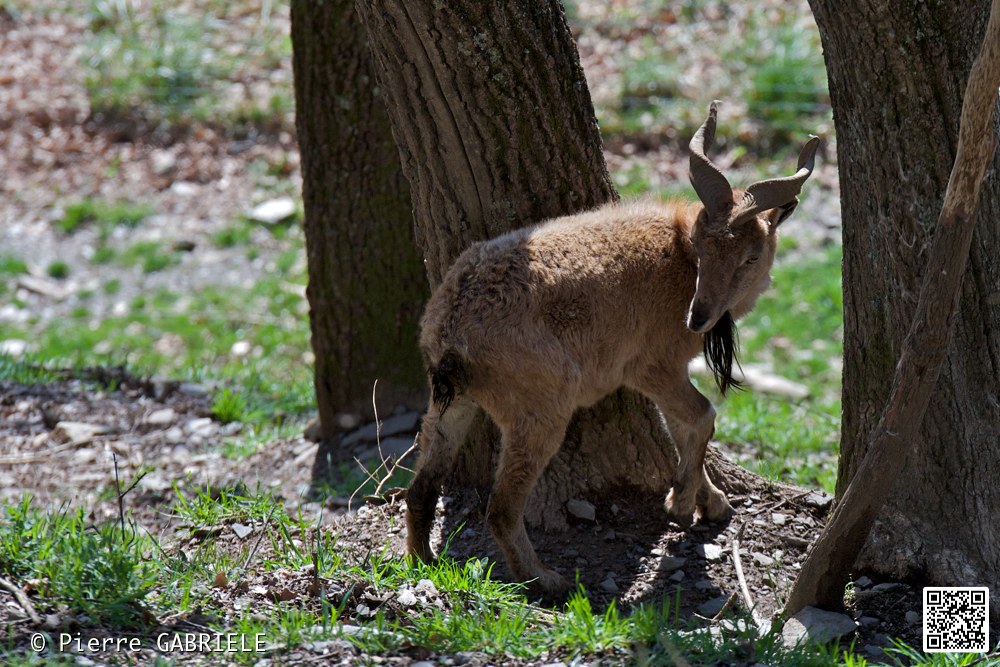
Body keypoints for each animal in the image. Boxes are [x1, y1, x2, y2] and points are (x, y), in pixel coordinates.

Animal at [406, 102, 820, 592]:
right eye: (702, 247)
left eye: (749, 256)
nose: (698, 318)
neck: (678, 263)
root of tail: (452, 328)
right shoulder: (652, 366)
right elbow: (701, 417)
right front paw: (680, 506)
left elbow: (681, 427)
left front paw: (713, 502)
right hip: (539, 410)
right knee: (502, 508)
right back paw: (547, 579)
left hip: (451, 403)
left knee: (421, 488)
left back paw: (423, 561)